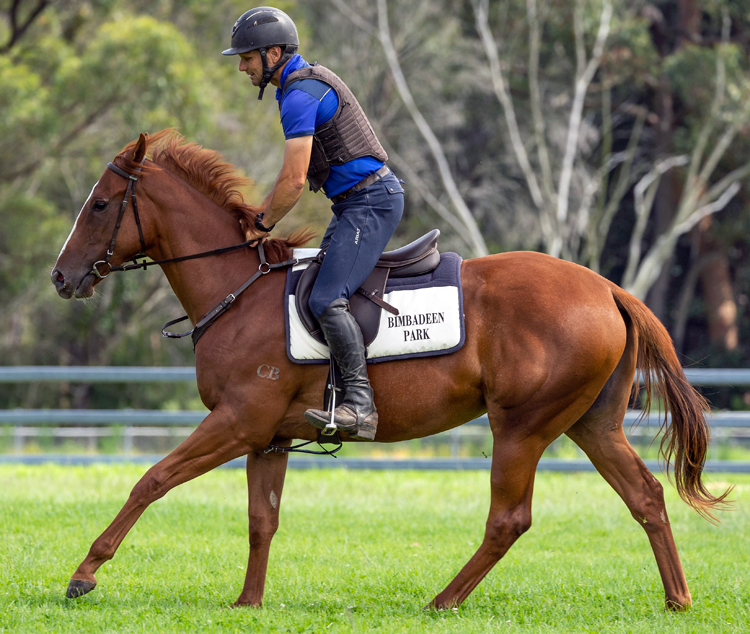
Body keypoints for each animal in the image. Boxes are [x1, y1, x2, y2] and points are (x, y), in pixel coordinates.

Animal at [51, 130, 729, 611]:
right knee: (645, 497)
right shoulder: (268, 437)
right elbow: (261, 519)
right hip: (590, 424)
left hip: (522, 427)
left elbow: (152, 480)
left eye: (102, 205)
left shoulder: (237, 422)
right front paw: (248, 602)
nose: (62, 277)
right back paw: (678, 598)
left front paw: (85, 573)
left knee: (509, 519)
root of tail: (608, 288)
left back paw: (443, 601)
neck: (238, 291)